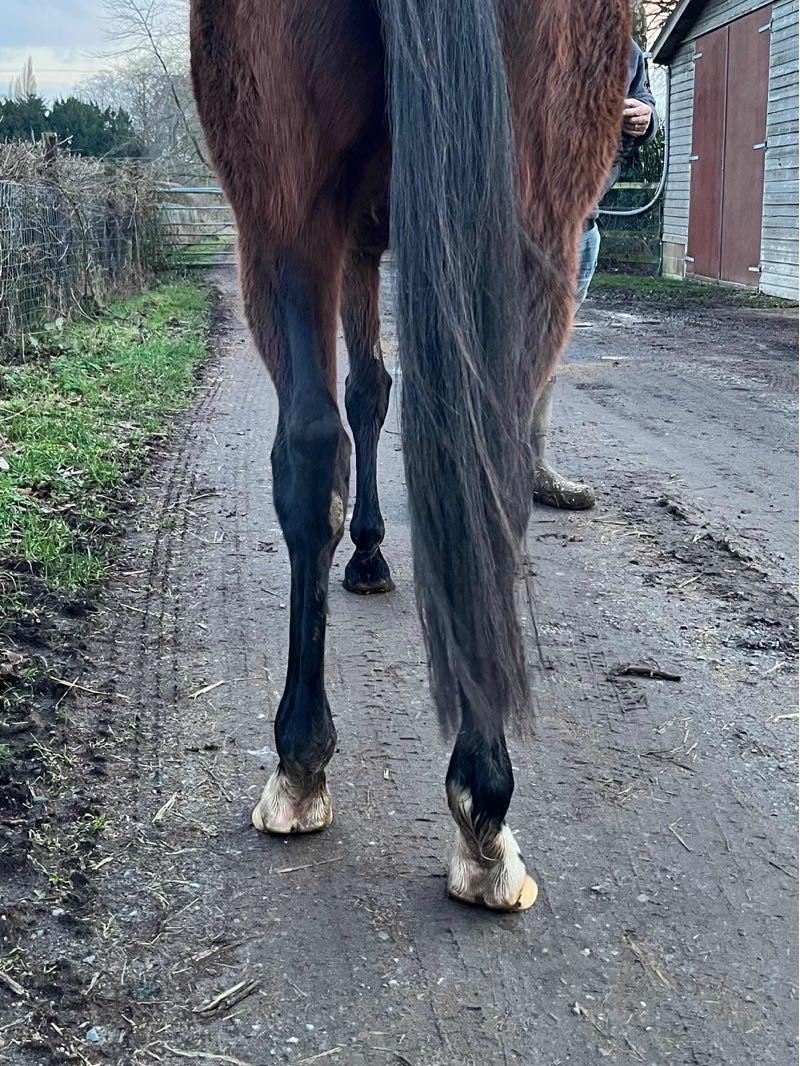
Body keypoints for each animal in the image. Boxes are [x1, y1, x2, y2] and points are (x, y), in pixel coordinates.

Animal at [190, 0, 628, 912]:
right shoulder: (364, 234)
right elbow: (372, 394)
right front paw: (369, 553)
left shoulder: (357, 235)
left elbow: (368, 393)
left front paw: (368, 554)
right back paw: (471, 800)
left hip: (291, 212)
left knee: (318, 445)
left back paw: (312, 765)